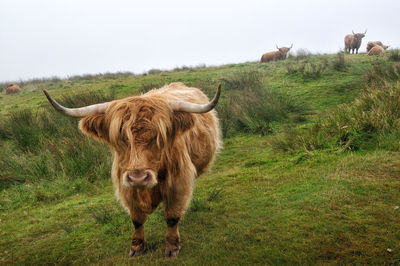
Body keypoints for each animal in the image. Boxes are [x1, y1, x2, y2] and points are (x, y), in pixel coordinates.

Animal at [44, 82, 225, 258]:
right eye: (120, 138)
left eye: (157, 137)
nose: (138, 177)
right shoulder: (126, 186)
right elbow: (137, 220)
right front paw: (137, 247)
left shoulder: (178, 183)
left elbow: (172, 217)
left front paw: (172, 247)